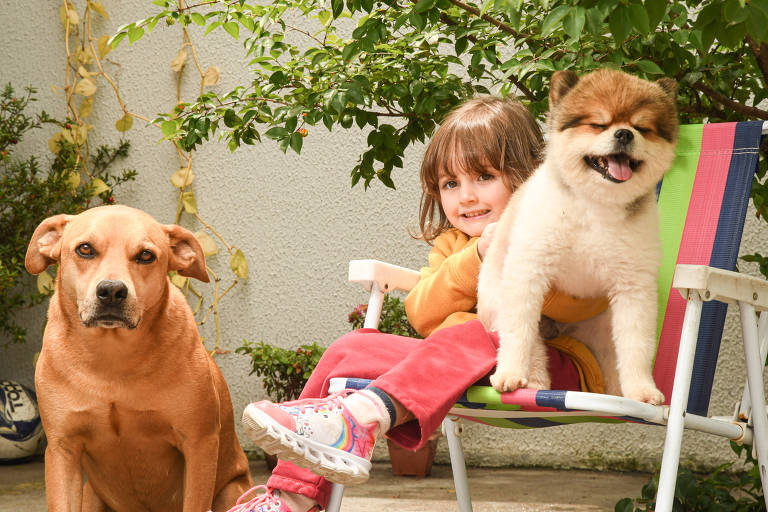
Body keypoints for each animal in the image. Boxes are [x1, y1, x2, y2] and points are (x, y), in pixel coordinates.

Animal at [24, 205, 250, 512]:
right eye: (85, 249)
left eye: (146, 255)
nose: (111, 291)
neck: (113, 358)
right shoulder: (63, 449)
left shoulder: (199, 444)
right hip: (90, 495)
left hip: (232, 491)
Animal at [480, 69, 680, 404]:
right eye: (598, 124)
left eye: (642, 128)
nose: (624, 134)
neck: (597, 204)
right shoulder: (529, 271)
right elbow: (518, 332)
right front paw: (510, 371)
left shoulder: (633, 288)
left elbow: (636, 347)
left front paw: (641, 390)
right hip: (500, 303)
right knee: (531, 344)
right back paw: (530, 379)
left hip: (601, 331)